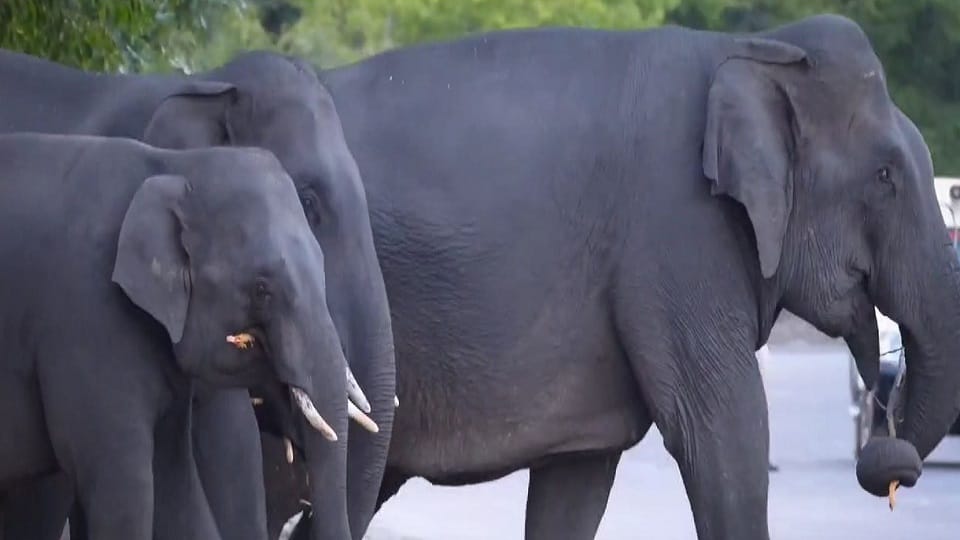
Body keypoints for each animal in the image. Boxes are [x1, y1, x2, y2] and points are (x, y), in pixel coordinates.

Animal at [269, 13, 960, 540]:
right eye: (886, 177)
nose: (885, 451)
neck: (750, 46)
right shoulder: (679, 231)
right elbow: (724, 434)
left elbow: (578, 479)